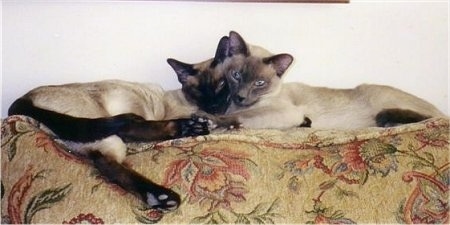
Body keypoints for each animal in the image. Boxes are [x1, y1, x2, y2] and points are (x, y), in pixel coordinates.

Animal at [7, 35, 237, 211]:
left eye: (221, 85)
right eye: (199, 91)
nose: (214, 106)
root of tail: (24, 97)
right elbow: (225, 124)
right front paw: (210, 122)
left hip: (101, 140)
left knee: (105, 162)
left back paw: (159, 198)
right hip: (102, 118)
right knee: (128, 128)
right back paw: (186, 130)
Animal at [216, 31, 444, 130]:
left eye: (259, 83)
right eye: (236, 75)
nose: (240, 96)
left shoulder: (284, 112)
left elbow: (240, 117)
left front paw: (213, 122)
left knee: (432, 118)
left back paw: (388, 121)